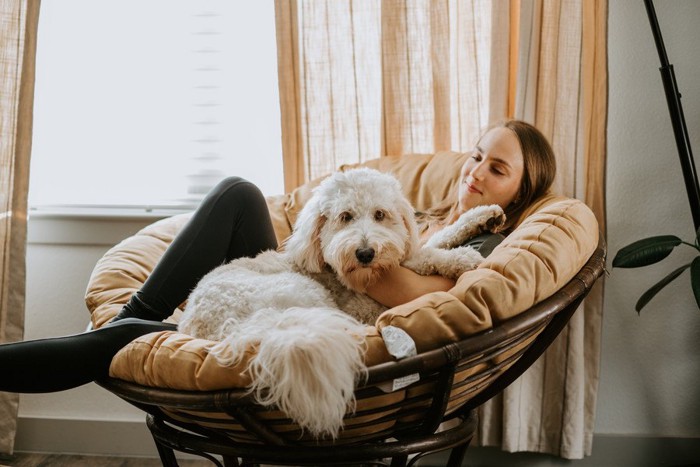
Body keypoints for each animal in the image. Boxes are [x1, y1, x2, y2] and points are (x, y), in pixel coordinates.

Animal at [175, 167, 504, 438]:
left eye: (380, 214)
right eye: (345, 217)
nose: (365, 253)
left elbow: (427, 242)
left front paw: (482, 216)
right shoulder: (366, 305)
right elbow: (424, 254)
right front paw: (461, 258)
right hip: (307, 297)